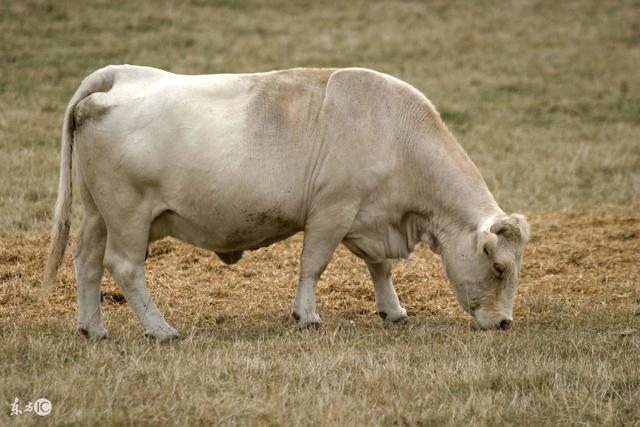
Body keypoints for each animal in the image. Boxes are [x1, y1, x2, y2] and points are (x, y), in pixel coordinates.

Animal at [42, 66, 528, 342]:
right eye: (499, 267)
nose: (506, 323)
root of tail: (118, 77)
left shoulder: (367, 217)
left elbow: (380, 268)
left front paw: (393, 311)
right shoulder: (332, 211)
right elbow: (313, 264)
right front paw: (306, 316)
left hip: (97, 215)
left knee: (86, 260)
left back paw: (93, 328)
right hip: (129, 216)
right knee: (124, 267)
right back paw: (160, 330)